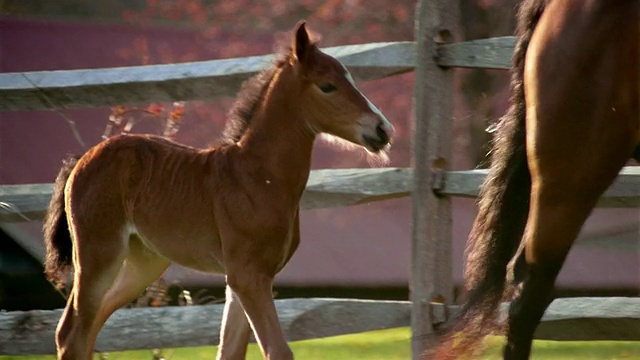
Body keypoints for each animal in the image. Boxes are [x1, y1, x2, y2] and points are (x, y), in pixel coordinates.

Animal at [42, 21, 392, 360]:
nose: (382, 129)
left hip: (143, 261)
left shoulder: (248, 278)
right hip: (98, 253)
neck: (259, 177)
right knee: (71, 332)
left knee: (92, 325)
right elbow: (277, 350)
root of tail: (82, 158)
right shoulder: (247, 276)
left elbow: (230, 350)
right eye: (327, 86)